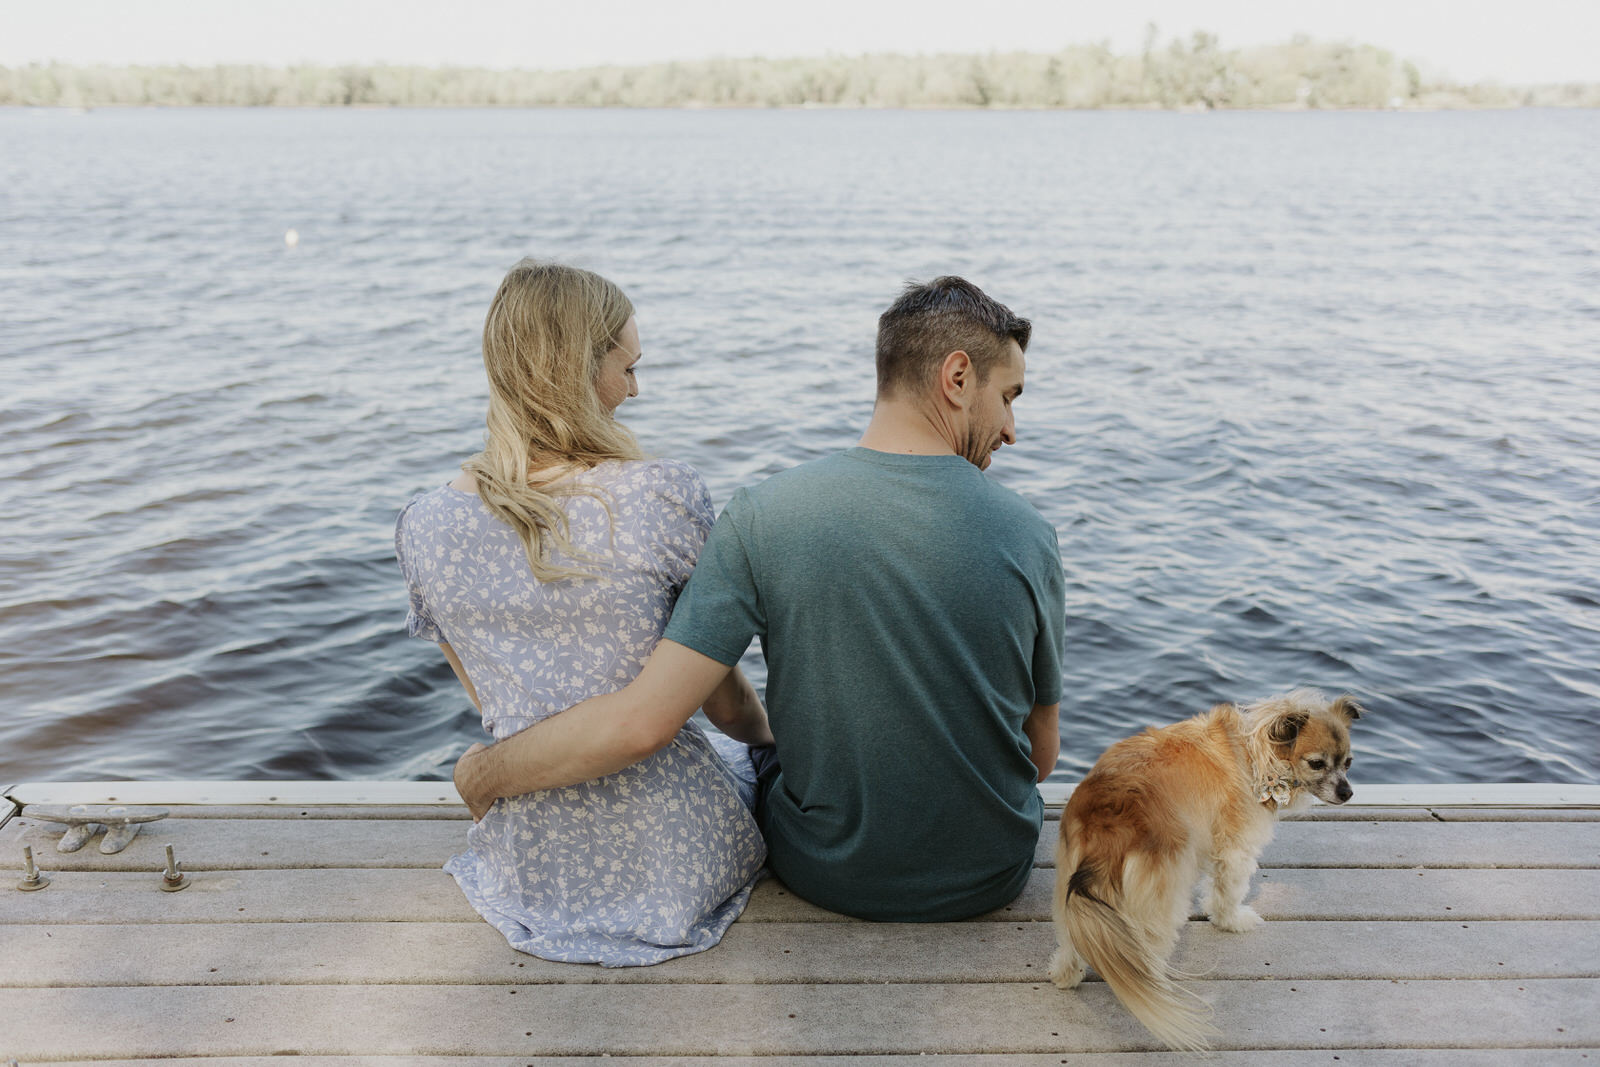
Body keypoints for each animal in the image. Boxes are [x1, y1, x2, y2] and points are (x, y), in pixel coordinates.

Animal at [1049, 694, 1363, 1049]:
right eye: (1317, 763)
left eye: (1348, 763)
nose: (1347, 793)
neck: (1254, 749)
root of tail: (1109, 818)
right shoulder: (1237, 848)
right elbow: (1229, 890)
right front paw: (1232, 920)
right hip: (1164, 900)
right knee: (1147, 949)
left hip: (1068, 888)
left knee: (1071, 938)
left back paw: (1066, 973)